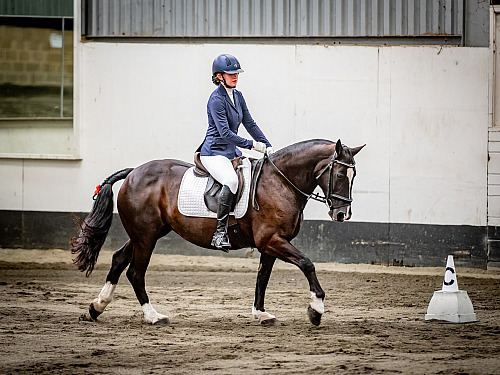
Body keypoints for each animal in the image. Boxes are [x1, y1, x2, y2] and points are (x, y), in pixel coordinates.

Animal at [71, 140, 364, 328]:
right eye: (340, 174)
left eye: (354, 176)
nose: (342, 215)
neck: (281, 182)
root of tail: (134, 172)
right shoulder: (272, 240)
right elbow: (307, 264)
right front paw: (316, 309)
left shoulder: (271, 244)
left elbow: (263, 278)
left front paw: (261, 314)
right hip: (146, 237)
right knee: (135, 272)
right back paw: (153, 316)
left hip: (145, 234)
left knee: (119, 260)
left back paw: (96, 307)